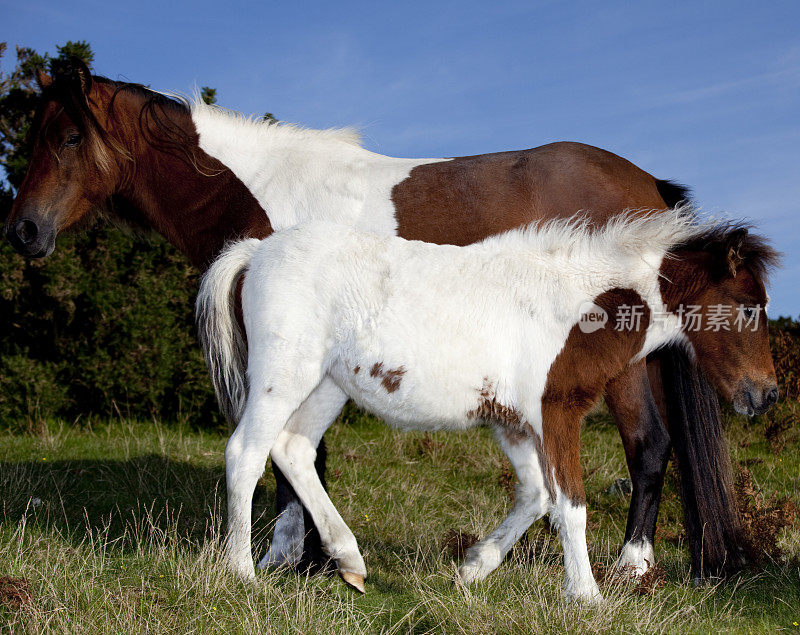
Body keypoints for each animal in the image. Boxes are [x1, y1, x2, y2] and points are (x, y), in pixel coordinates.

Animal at [197, 212, 780, 600]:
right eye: (749, 306)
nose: (767, 394)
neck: (575, 308)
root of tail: (257, 252)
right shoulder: (555, 412)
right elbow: (571, 505)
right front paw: (586, 596)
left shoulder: (514, 423)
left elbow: (537, 496)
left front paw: (472, 568)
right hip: (284, 373)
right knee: (246, 453)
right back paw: (242, 574)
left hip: (327, 385)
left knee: (292, 448)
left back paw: (351, 560)